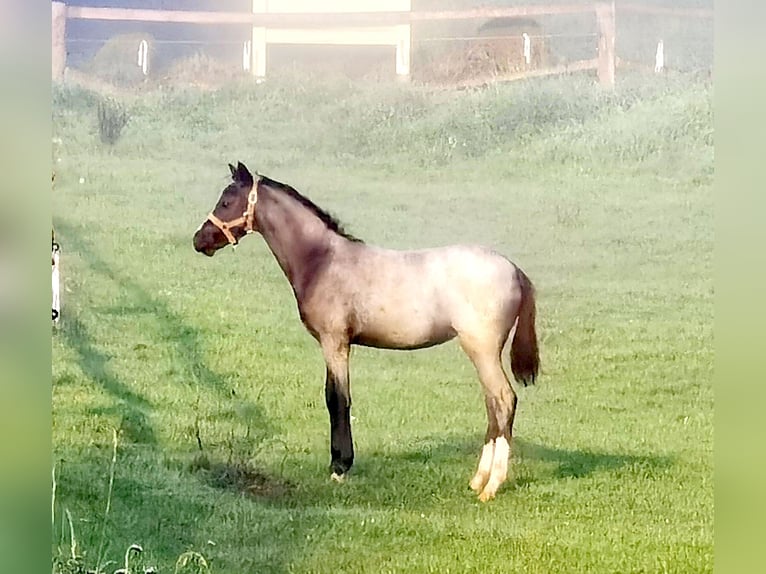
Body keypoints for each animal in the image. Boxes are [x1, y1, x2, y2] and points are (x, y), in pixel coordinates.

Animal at [192, 161, 540, 500]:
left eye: (226, 202)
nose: (199, 240)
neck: (323, 261)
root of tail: (515, 270)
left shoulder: (335, 342)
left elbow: (336, 398)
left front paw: (340, 466)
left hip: (481, 349)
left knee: (504, 400)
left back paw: (491, 486)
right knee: (493, 405)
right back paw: (478, 480)